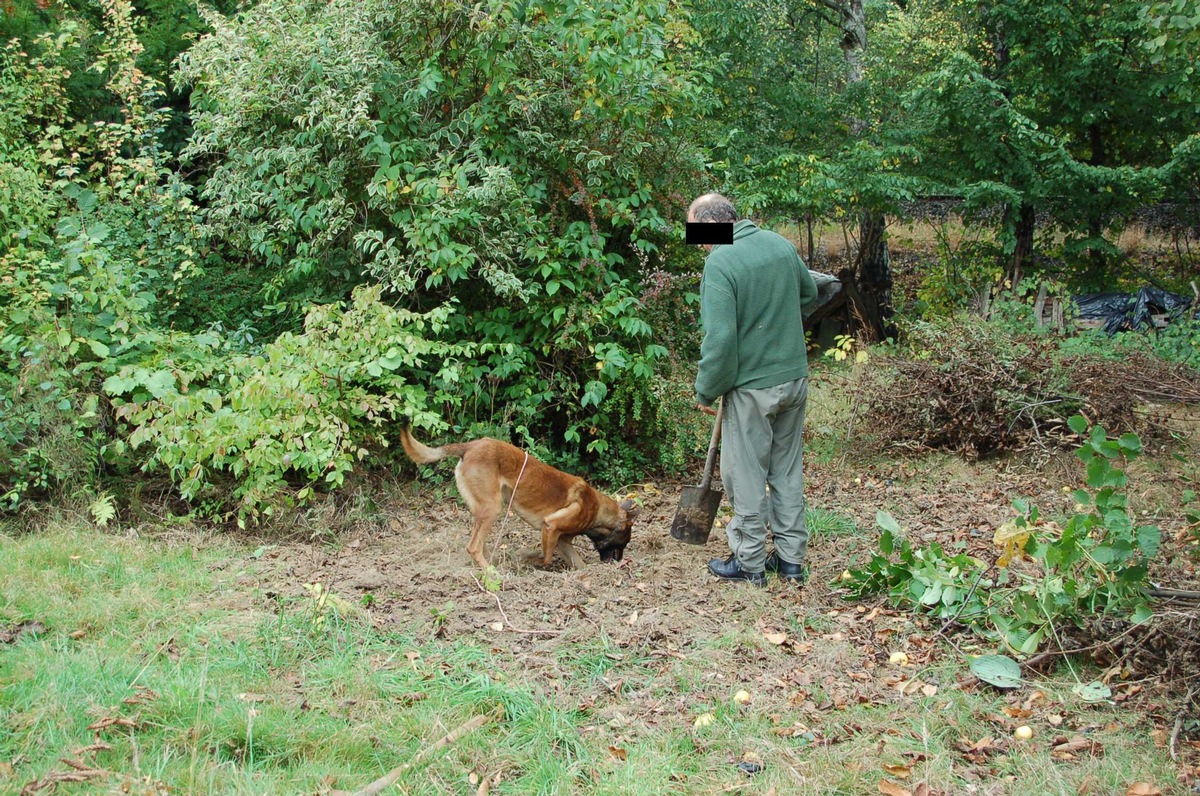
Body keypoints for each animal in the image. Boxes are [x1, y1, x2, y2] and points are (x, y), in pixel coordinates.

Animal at [398, 427, 638, 569]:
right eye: (625, 541)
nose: (620, 561)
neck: (598, 510)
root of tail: (471, 446)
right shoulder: (551, 527)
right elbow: (546, 558)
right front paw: (528, 558)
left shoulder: (562, 540)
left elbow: (579, 564)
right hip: (493, 508)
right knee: (473, 547)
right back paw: (491, 573)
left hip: (484, 509)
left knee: (477, 544)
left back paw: (491, 563)